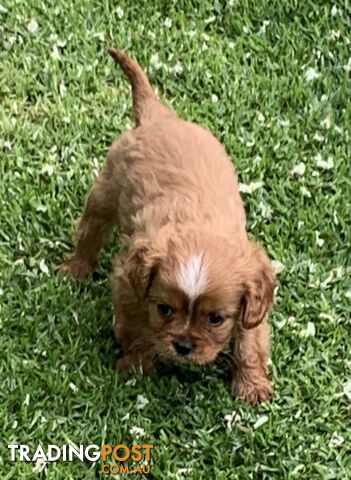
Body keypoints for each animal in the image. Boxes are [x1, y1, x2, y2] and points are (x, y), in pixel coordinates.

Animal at [61, 47, 278, 404]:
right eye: (164, 309)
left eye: (215, 319)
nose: (183, 346)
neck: (199, 230)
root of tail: (159, 118)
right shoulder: (128, 282)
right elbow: (135, 325)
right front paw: (137, 365)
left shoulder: (253, 301)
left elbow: (250, 340)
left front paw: (252, 385)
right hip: (106, 191)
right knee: (91, 229)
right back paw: (76, 267)